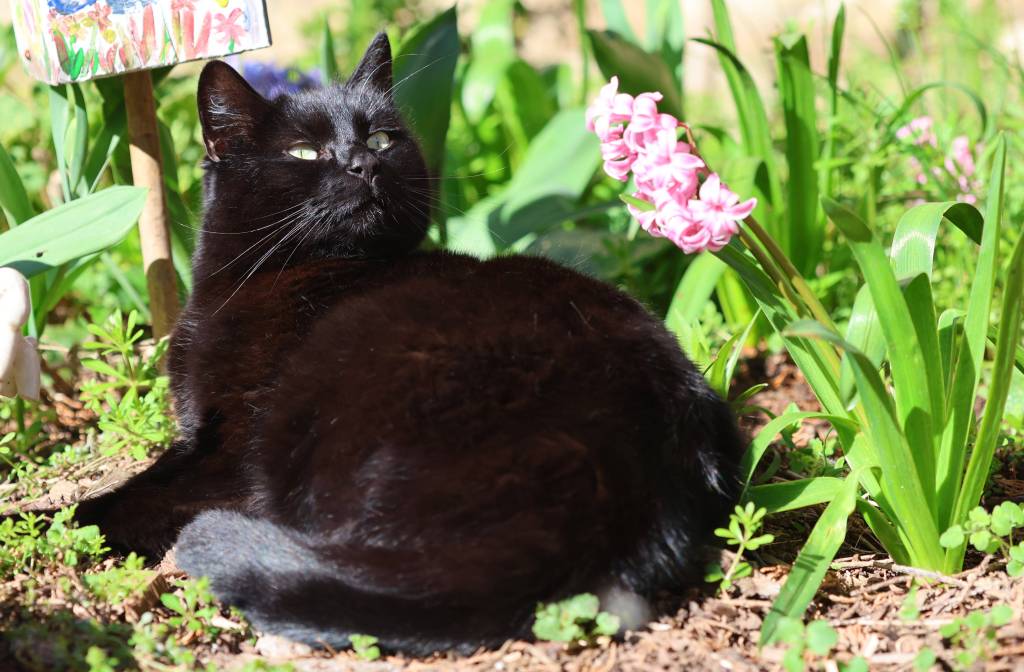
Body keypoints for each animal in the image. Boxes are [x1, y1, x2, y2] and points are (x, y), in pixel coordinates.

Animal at [75, 32, 741, 655]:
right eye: (304, 152)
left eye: (379, 141)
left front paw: (70, 519)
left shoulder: (229, 446)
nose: (362, 166)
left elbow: (132, 494)